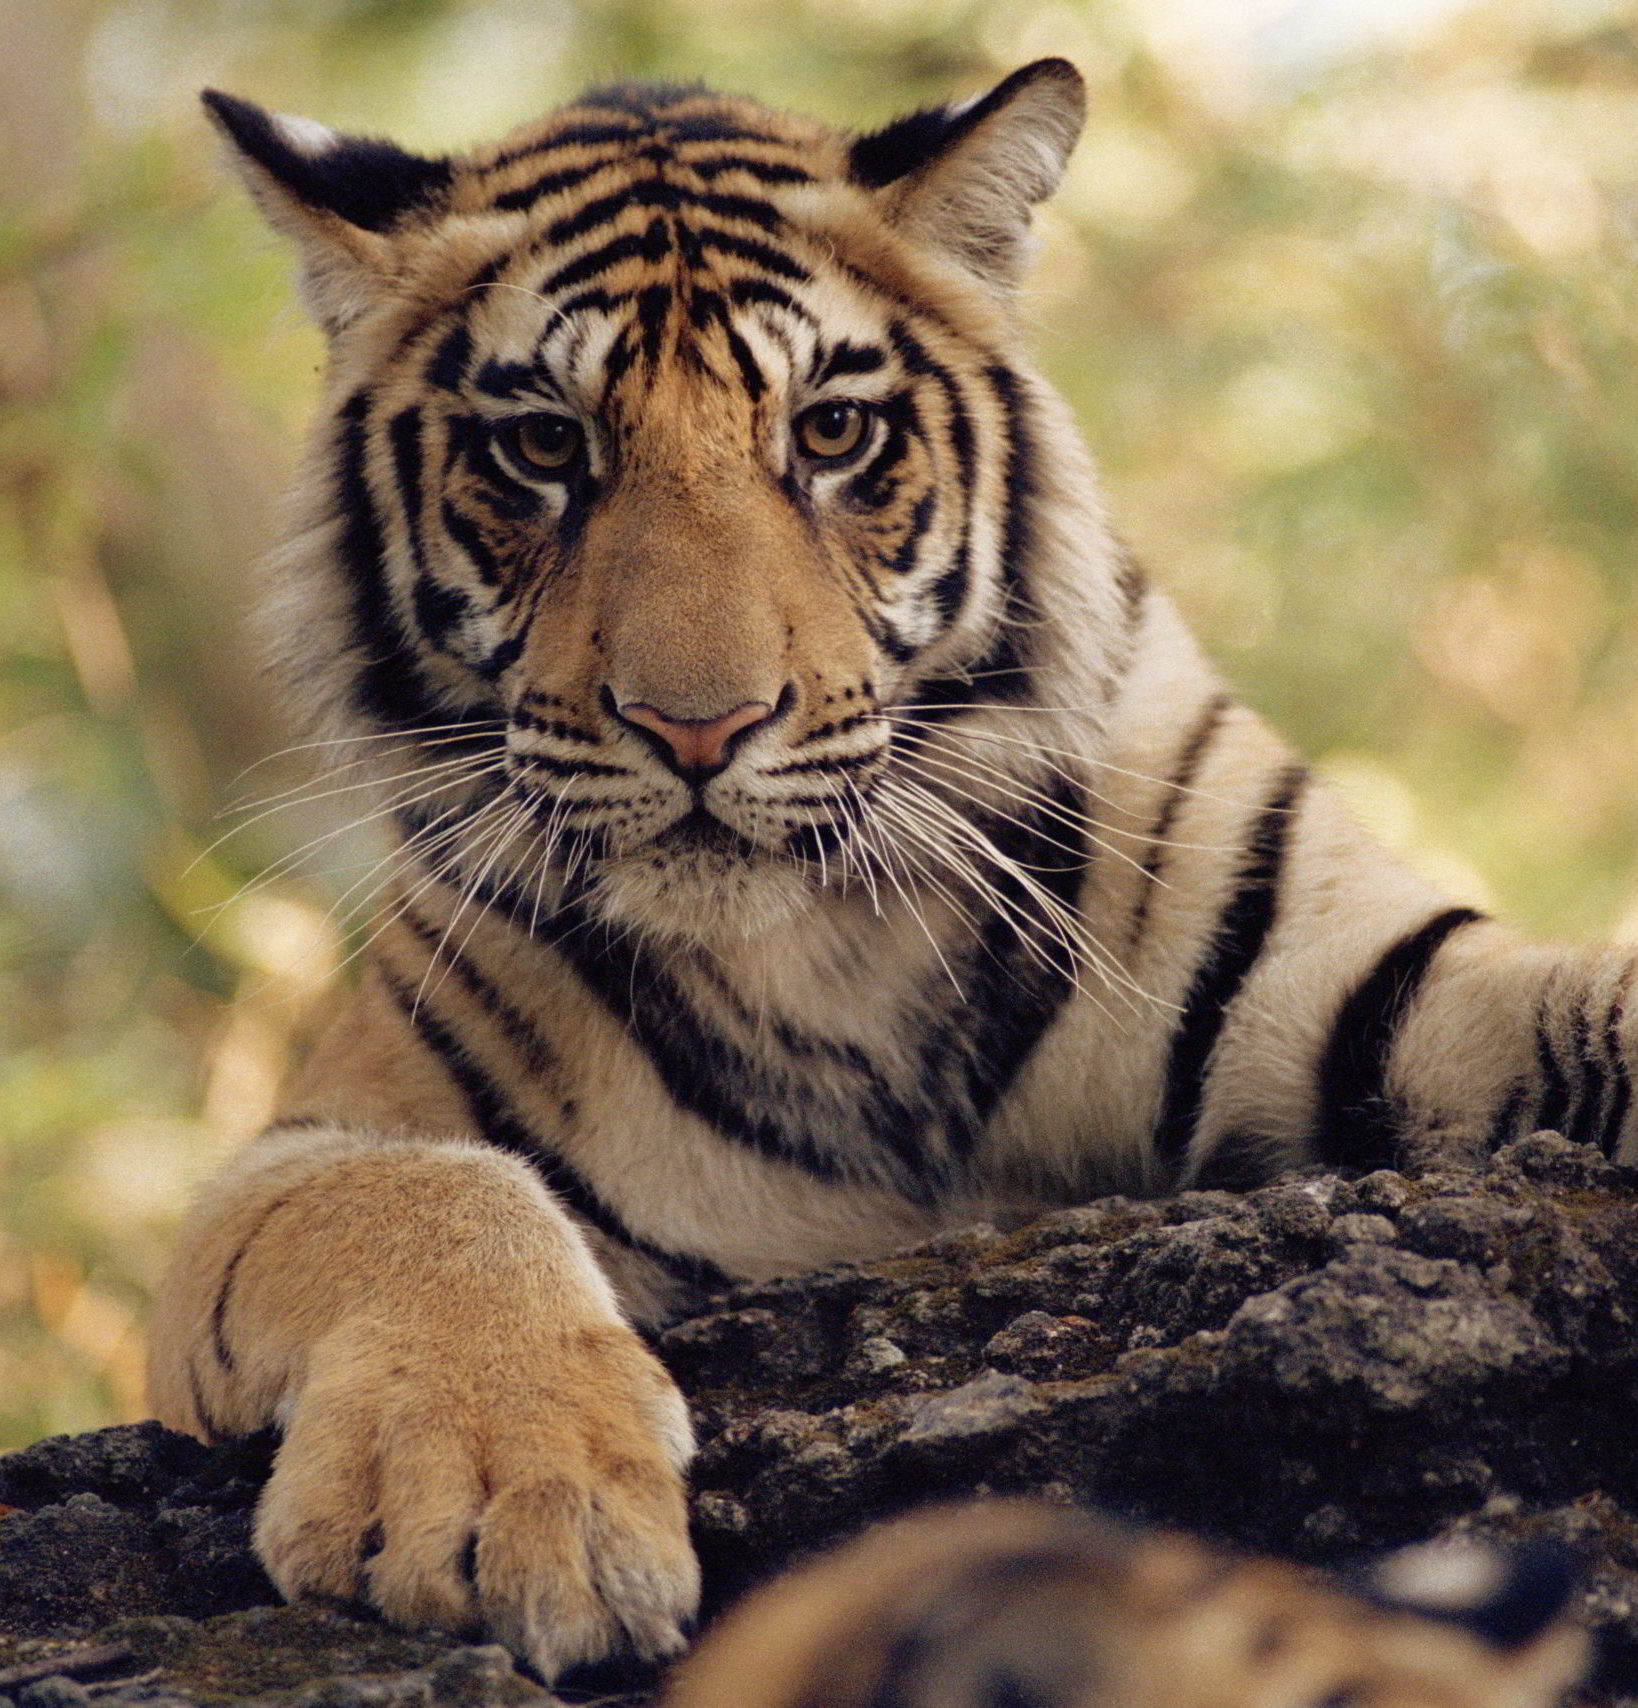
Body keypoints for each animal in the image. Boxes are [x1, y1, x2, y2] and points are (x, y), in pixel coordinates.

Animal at [146, 63, 1638, 1680]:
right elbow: (430, 1202)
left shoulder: (1377, 975)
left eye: (833, 433)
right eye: (542, 447)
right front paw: (503, 1496)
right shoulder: (303, 1151)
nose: (698, 725)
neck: (830, 941)